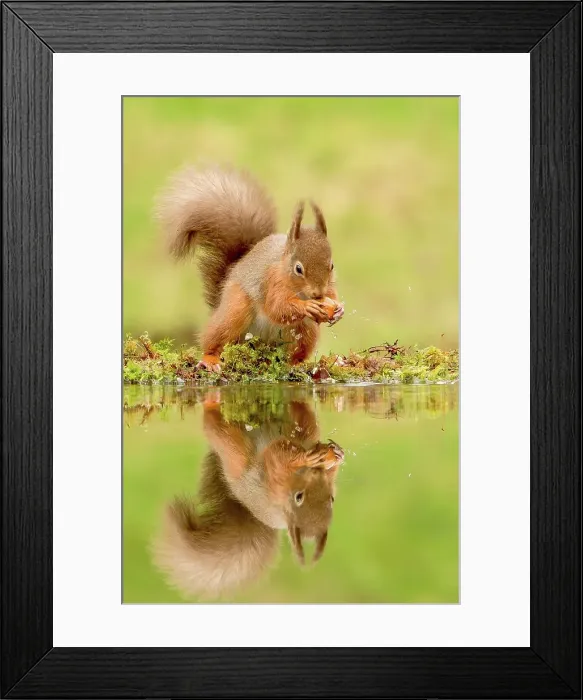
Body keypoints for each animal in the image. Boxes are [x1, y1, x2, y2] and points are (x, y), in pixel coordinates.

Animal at [152, 394, 345, 599]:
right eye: (298, 497)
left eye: (332, 500)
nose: (315, 474)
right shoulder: (274, 479)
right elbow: (279, 455)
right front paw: (310, 457)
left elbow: (302, 436)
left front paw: (335, 455)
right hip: (236, 452)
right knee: (218, 426)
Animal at [156, 166, 345, 372]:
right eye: (298, 269)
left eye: (331, 265)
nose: (318, 294)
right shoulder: (271, 281)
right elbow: (277, 307)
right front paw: (307, 306)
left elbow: (331, 296)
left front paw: (339, 309)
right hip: (235, 310)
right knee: (214, 338)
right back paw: (210, 359)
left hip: (305, 331)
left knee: (295, 354)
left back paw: (299, 364)